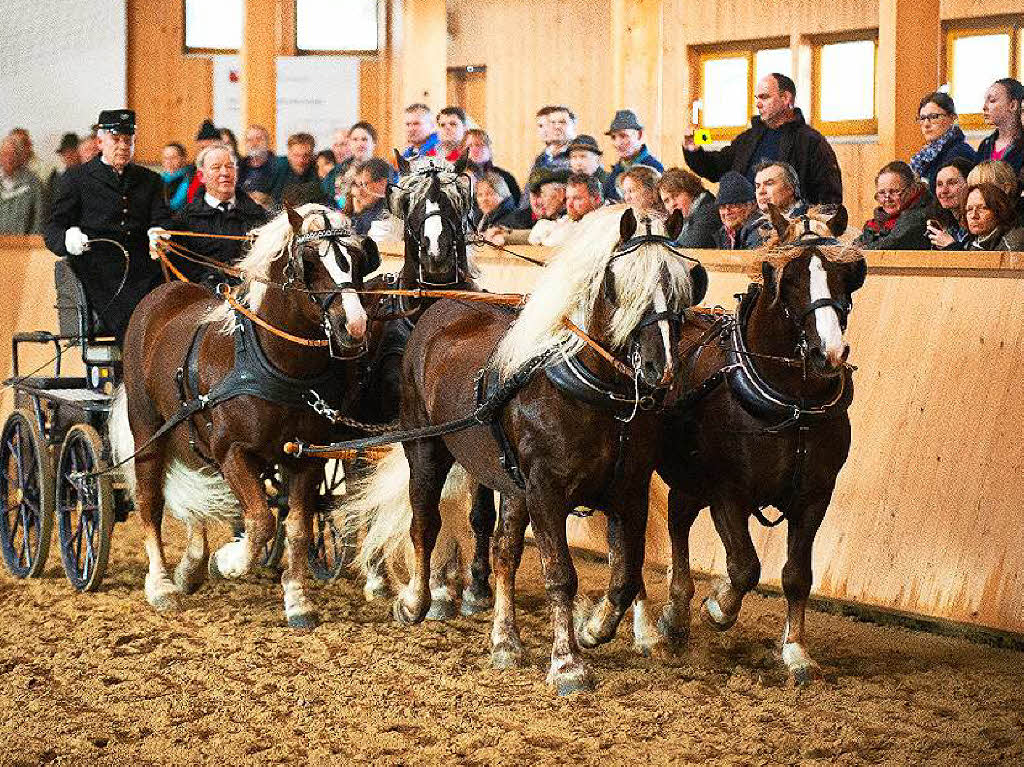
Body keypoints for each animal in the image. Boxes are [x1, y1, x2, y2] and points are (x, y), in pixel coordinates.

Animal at [110, 204, 380, 626]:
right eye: (308, 262)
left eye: (356, 257)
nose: (353, 324)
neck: (276, 365)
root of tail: (164, 294)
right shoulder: (232, 451)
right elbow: (260, 521)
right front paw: (229, 562)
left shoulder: (305, 456)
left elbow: (297, 527)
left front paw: (297, 600)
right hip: (148, 430)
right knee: (150, 501)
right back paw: (162, 586)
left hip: (191, 436)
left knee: (195, 495)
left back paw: (191, 566)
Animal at [356, 204, 708, 692]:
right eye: (618, 282)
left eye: (682, 281)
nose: (662, 370)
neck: (597, 395)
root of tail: (442, 303)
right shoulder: (546, 492)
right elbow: (560, 575)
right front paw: (567, 664)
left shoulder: (629, 491)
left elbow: (626, 573)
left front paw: (595, 628)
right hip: (425, 449)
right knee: (424, 523)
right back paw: (415, 602)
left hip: (511, 485)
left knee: (504, 551)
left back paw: (505, 641)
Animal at [655, 203, 864, 684]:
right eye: (788, 281)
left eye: (846, 277)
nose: (830, 353)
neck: (793, 403)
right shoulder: (727, 492)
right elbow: (745, 566)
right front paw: (718, 606)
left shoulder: (814, 497)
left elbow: (797, 574)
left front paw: (795, 650)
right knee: (675, 526)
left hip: (691, 481)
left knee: (678, 520)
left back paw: (677, 611)